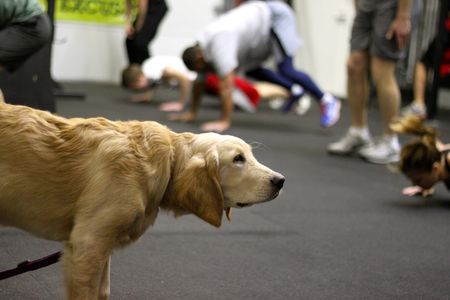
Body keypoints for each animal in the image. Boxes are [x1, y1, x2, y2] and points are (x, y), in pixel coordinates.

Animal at [0, 102, 284, 298]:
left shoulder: (100, 248)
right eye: (238, 159)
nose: (280, 180)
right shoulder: (87, 244)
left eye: (249, 154)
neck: (166, 162)